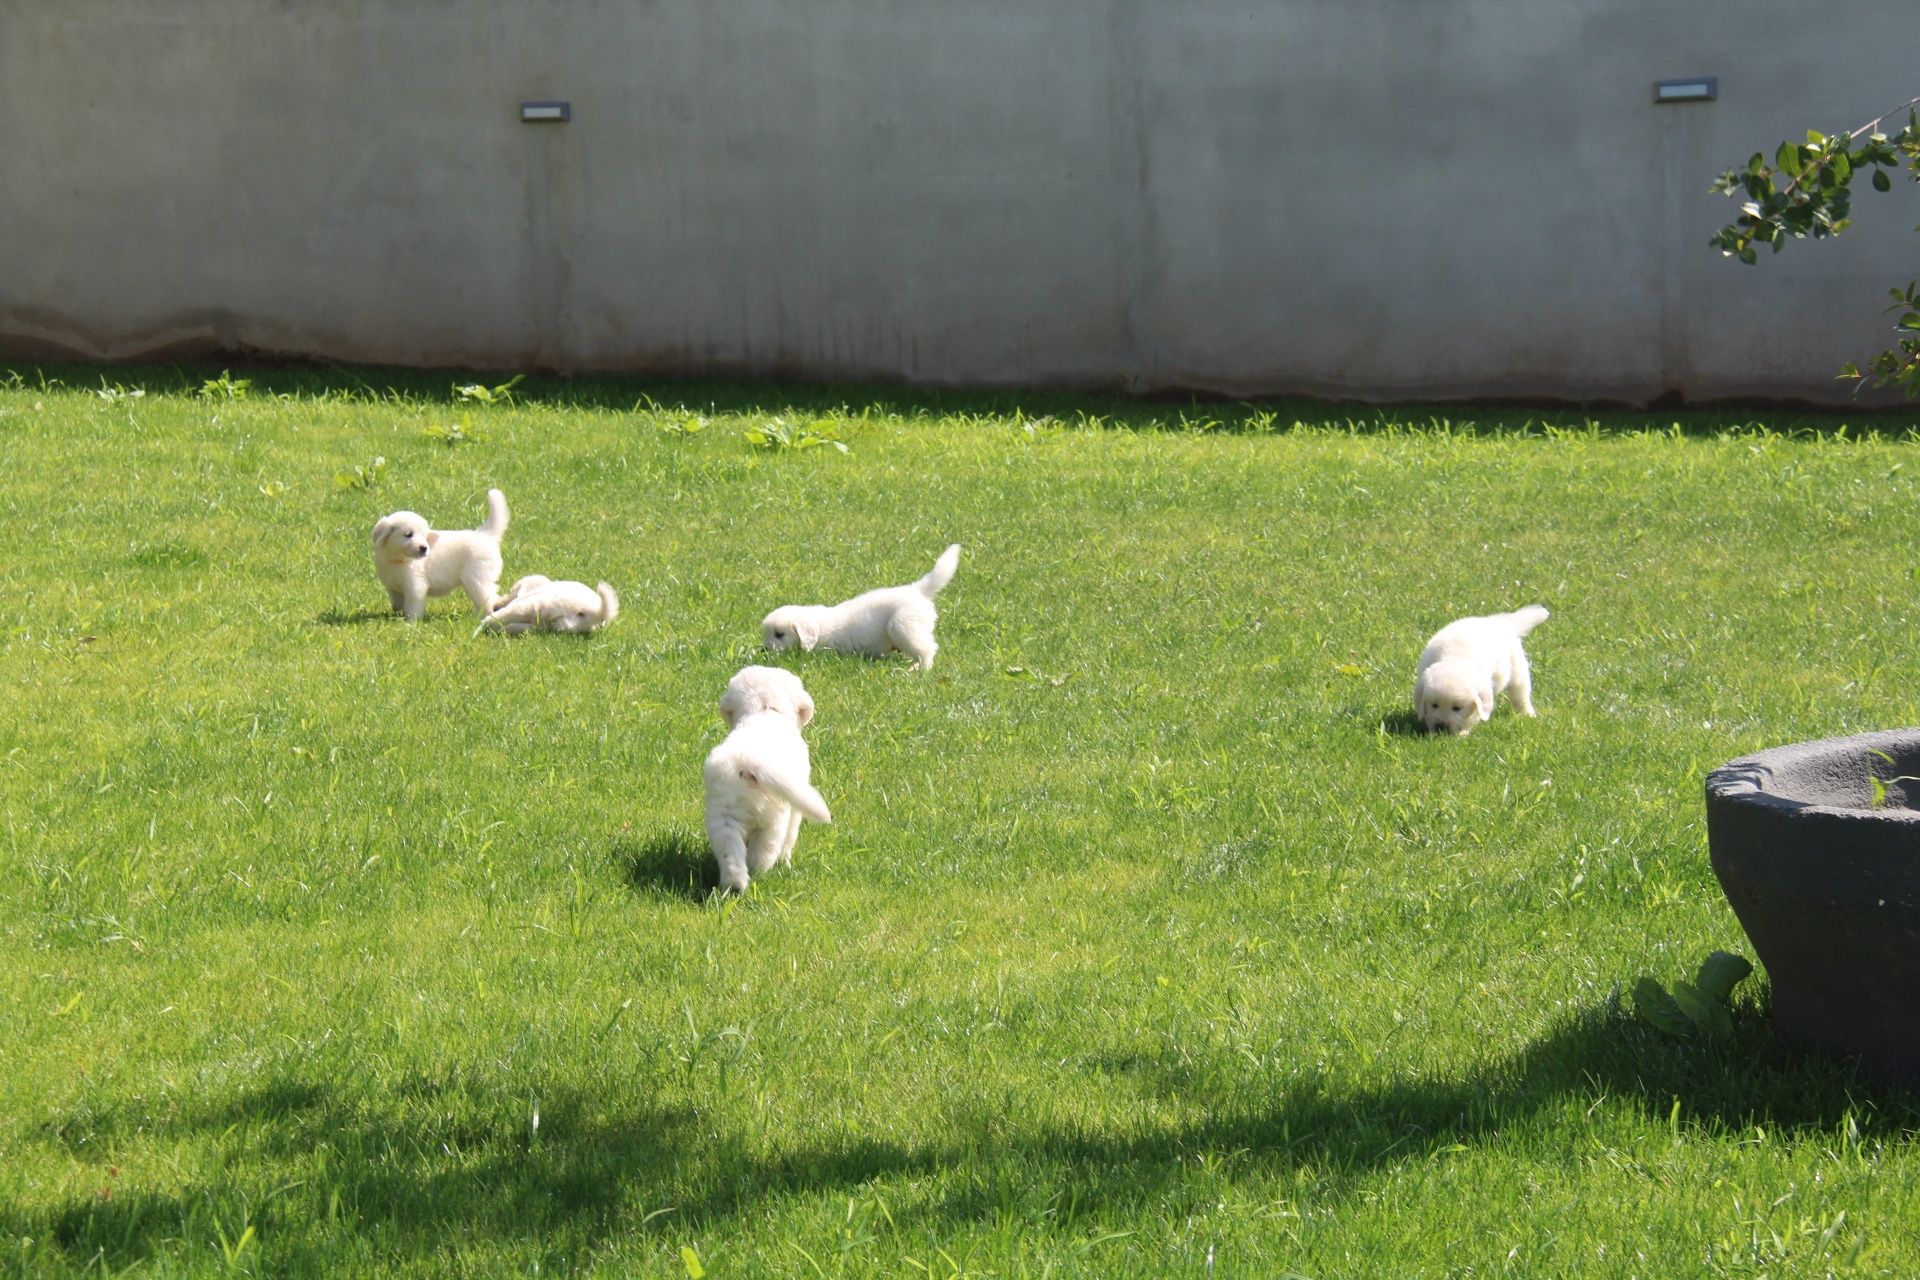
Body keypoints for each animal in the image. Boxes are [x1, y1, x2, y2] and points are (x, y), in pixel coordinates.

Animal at [370, 487, 510, 621]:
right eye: (408, 535)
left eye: (424, 536)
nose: (424, 548)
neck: (398, 560)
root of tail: (485, 534)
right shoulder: (393, 588)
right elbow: (397, 604)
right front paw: (397, 616)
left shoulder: (415, 587)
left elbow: (412, 607)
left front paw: (411, 623)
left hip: (477, 578)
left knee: (489, 598)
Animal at [702, 667, 829, 898]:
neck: (764, 710)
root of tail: (748, 763)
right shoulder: (795, 805)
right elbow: (790, 836)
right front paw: (786, 861)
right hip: (774, 819)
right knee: (763, 853)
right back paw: (761, 876)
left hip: (722, 816)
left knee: (731, 855)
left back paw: (734, 886)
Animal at [760, 545, 960, 675]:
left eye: (779, 634)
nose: (764, 650)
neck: (817, 627)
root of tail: (916, 590)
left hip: (903, 626)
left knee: (927, 649)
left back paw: (919, 668)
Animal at [1420, 606, 1551, 736]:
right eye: (1434, 705)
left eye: (1457, 708)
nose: (1440, 727)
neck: (1454, 659)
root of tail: (1502, 622)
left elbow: (1473, 715)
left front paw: (1462, 733)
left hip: (1517, 670)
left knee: (1520, 695)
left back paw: (1528, 713)